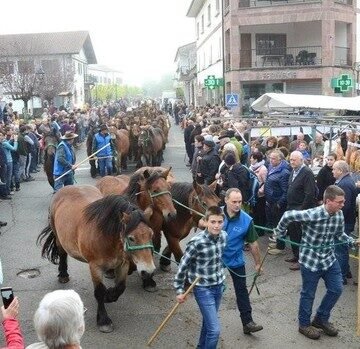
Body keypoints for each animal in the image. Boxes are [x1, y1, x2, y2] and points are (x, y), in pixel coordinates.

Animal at [37, 185, 155, 332]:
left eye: (152, 234)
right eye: (131, 238)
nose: (148, 271)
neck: (105, 236)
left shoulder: (123, 263)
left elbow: (121, 287)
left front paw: (109, 296)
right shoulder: (95, 267)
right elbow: (99, 291)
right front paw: (103, 320)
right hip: (59, 238)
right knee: (63, 254)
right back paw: (63, 274)